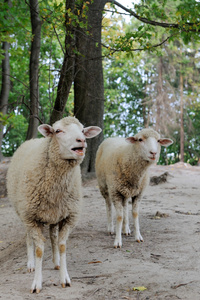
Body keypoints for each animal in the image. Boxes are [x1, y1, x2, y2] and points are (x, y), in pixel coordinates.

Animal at [6, 116, 101, 292]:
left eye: (83, 130)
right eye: (58, 131)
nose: (82, 140)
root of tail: (33, 139)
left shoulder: (69, 217)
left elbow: (62, 245)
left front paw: (65, 278)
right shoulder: (31, 217)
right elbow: (39, 250)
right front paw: (37, 283)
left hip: (54, 214)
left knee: (52, 236)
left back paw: (56, 262)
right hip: (24, 212)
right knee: (28, 237)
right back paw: (30, 264)